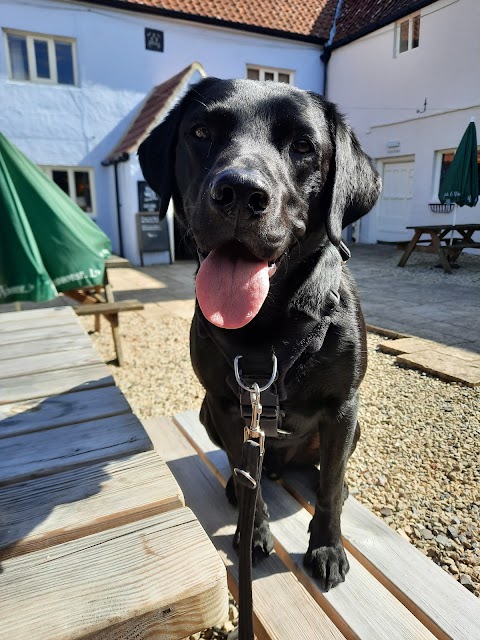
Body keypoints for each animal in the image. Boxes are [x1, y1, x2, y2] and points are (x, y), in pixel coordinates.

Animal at [140, 77, 382, 592]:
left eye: (304, 146)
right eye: (200, 131)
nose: (238, 191)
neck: (268, 328)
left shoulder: (343, 408)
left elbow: (328, 488)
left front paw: (327, 547)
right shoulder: (228, 405)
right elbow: (242, 469)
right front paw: (253, 532)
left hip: (354, 426)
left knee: (327, 471)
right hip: (206, 411)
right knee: (248, 471)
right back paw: (241, 486)